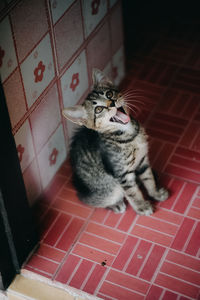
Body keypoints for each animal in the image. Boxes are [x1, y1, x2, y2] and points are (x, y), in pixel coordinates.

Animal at [63, 69, 169, 216]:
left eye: (109, 94)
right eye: (98, 110)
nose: (112, 103)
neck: (129, 135)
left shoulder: (142, 161)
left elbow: (149, 179)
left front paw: (156, 193)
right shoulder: (122, 174)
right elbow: (133, 193)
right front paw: (142, 206)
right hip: (110, 188)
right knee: (91, 200)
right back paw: (115, 205)